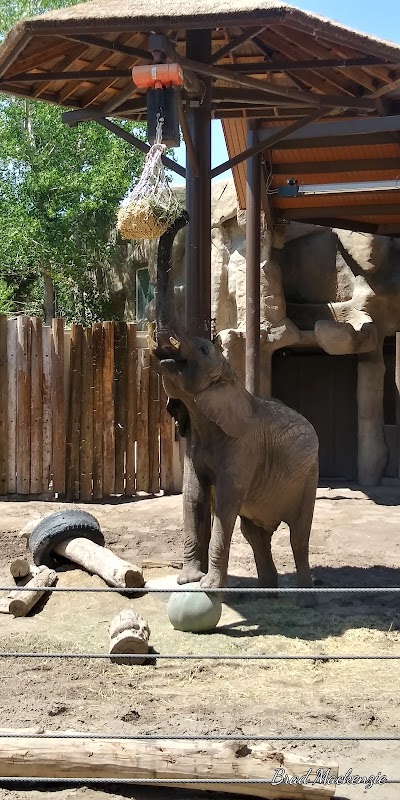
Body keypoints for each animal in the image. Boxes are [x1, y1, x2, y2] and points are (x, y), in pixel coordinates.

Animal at [153, 216, 318, 592]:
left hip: (309, 477)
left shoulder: (244, 448)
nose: (182, 216)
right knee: (255, 532)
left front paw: (208, 587)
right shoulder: (195, 441)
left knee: (298, 536)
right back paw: (268, 590)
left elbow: (225, 504)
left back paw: (304, 595)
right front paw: (187, 580)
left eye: (202, 350)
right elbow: (192, 497)